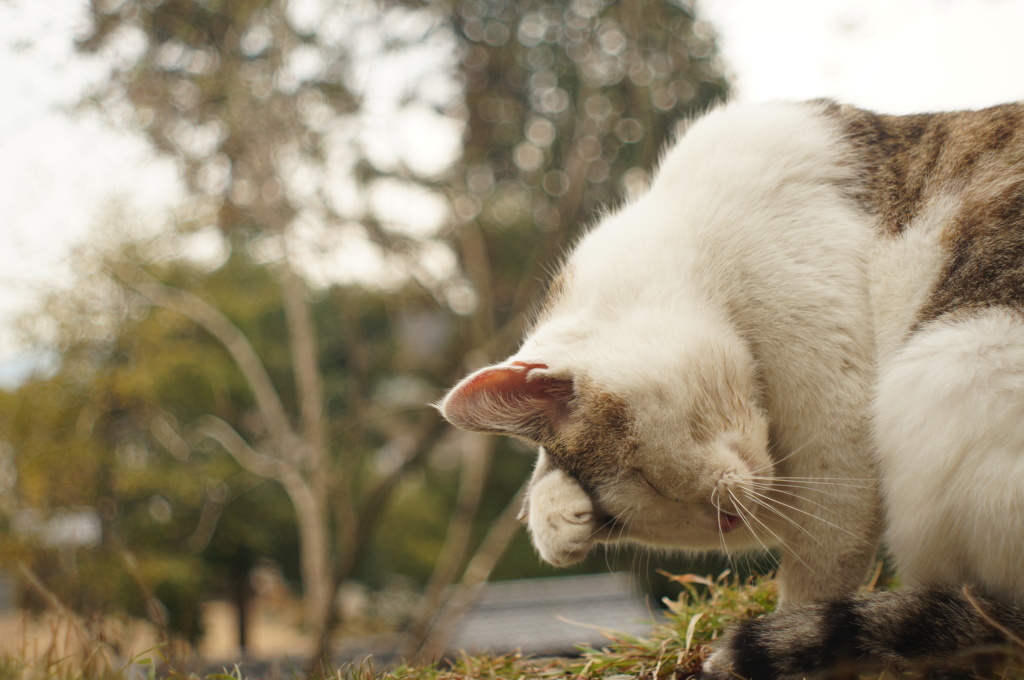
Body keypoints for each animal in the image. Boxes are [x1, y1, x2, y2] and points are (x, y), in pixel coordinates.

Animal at [436, 102, 1024, 680]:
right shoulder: (784, 481)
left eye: (646, 476)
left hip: (945, 373)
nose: (726, 519)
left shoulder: (838, 444)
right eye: (623, 520)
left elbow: (821, 563)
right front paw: (555, 515)